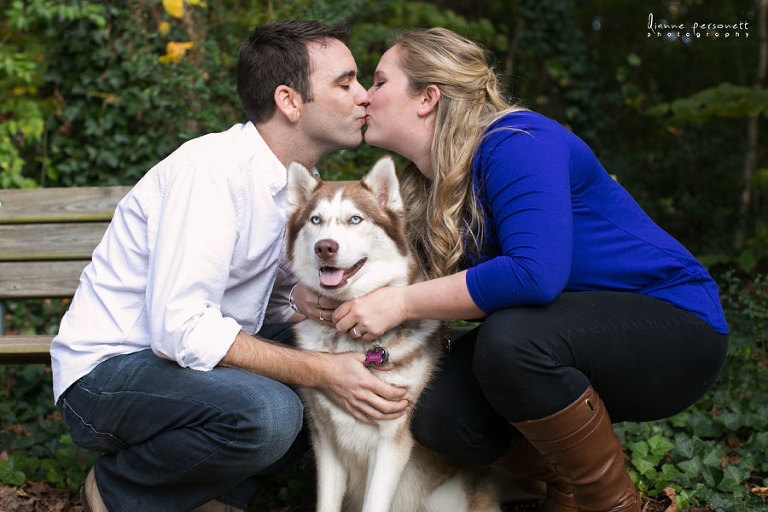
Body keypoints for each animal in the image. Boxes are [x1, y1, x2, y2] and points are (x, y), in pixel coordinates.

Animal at [284, 157, 500, 512]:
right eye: (316, 220)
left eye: (355, 219)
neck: (347, 342)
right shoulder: (325, 441)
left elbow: (375, 502)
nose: (324, 247)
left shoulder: (391, 443)